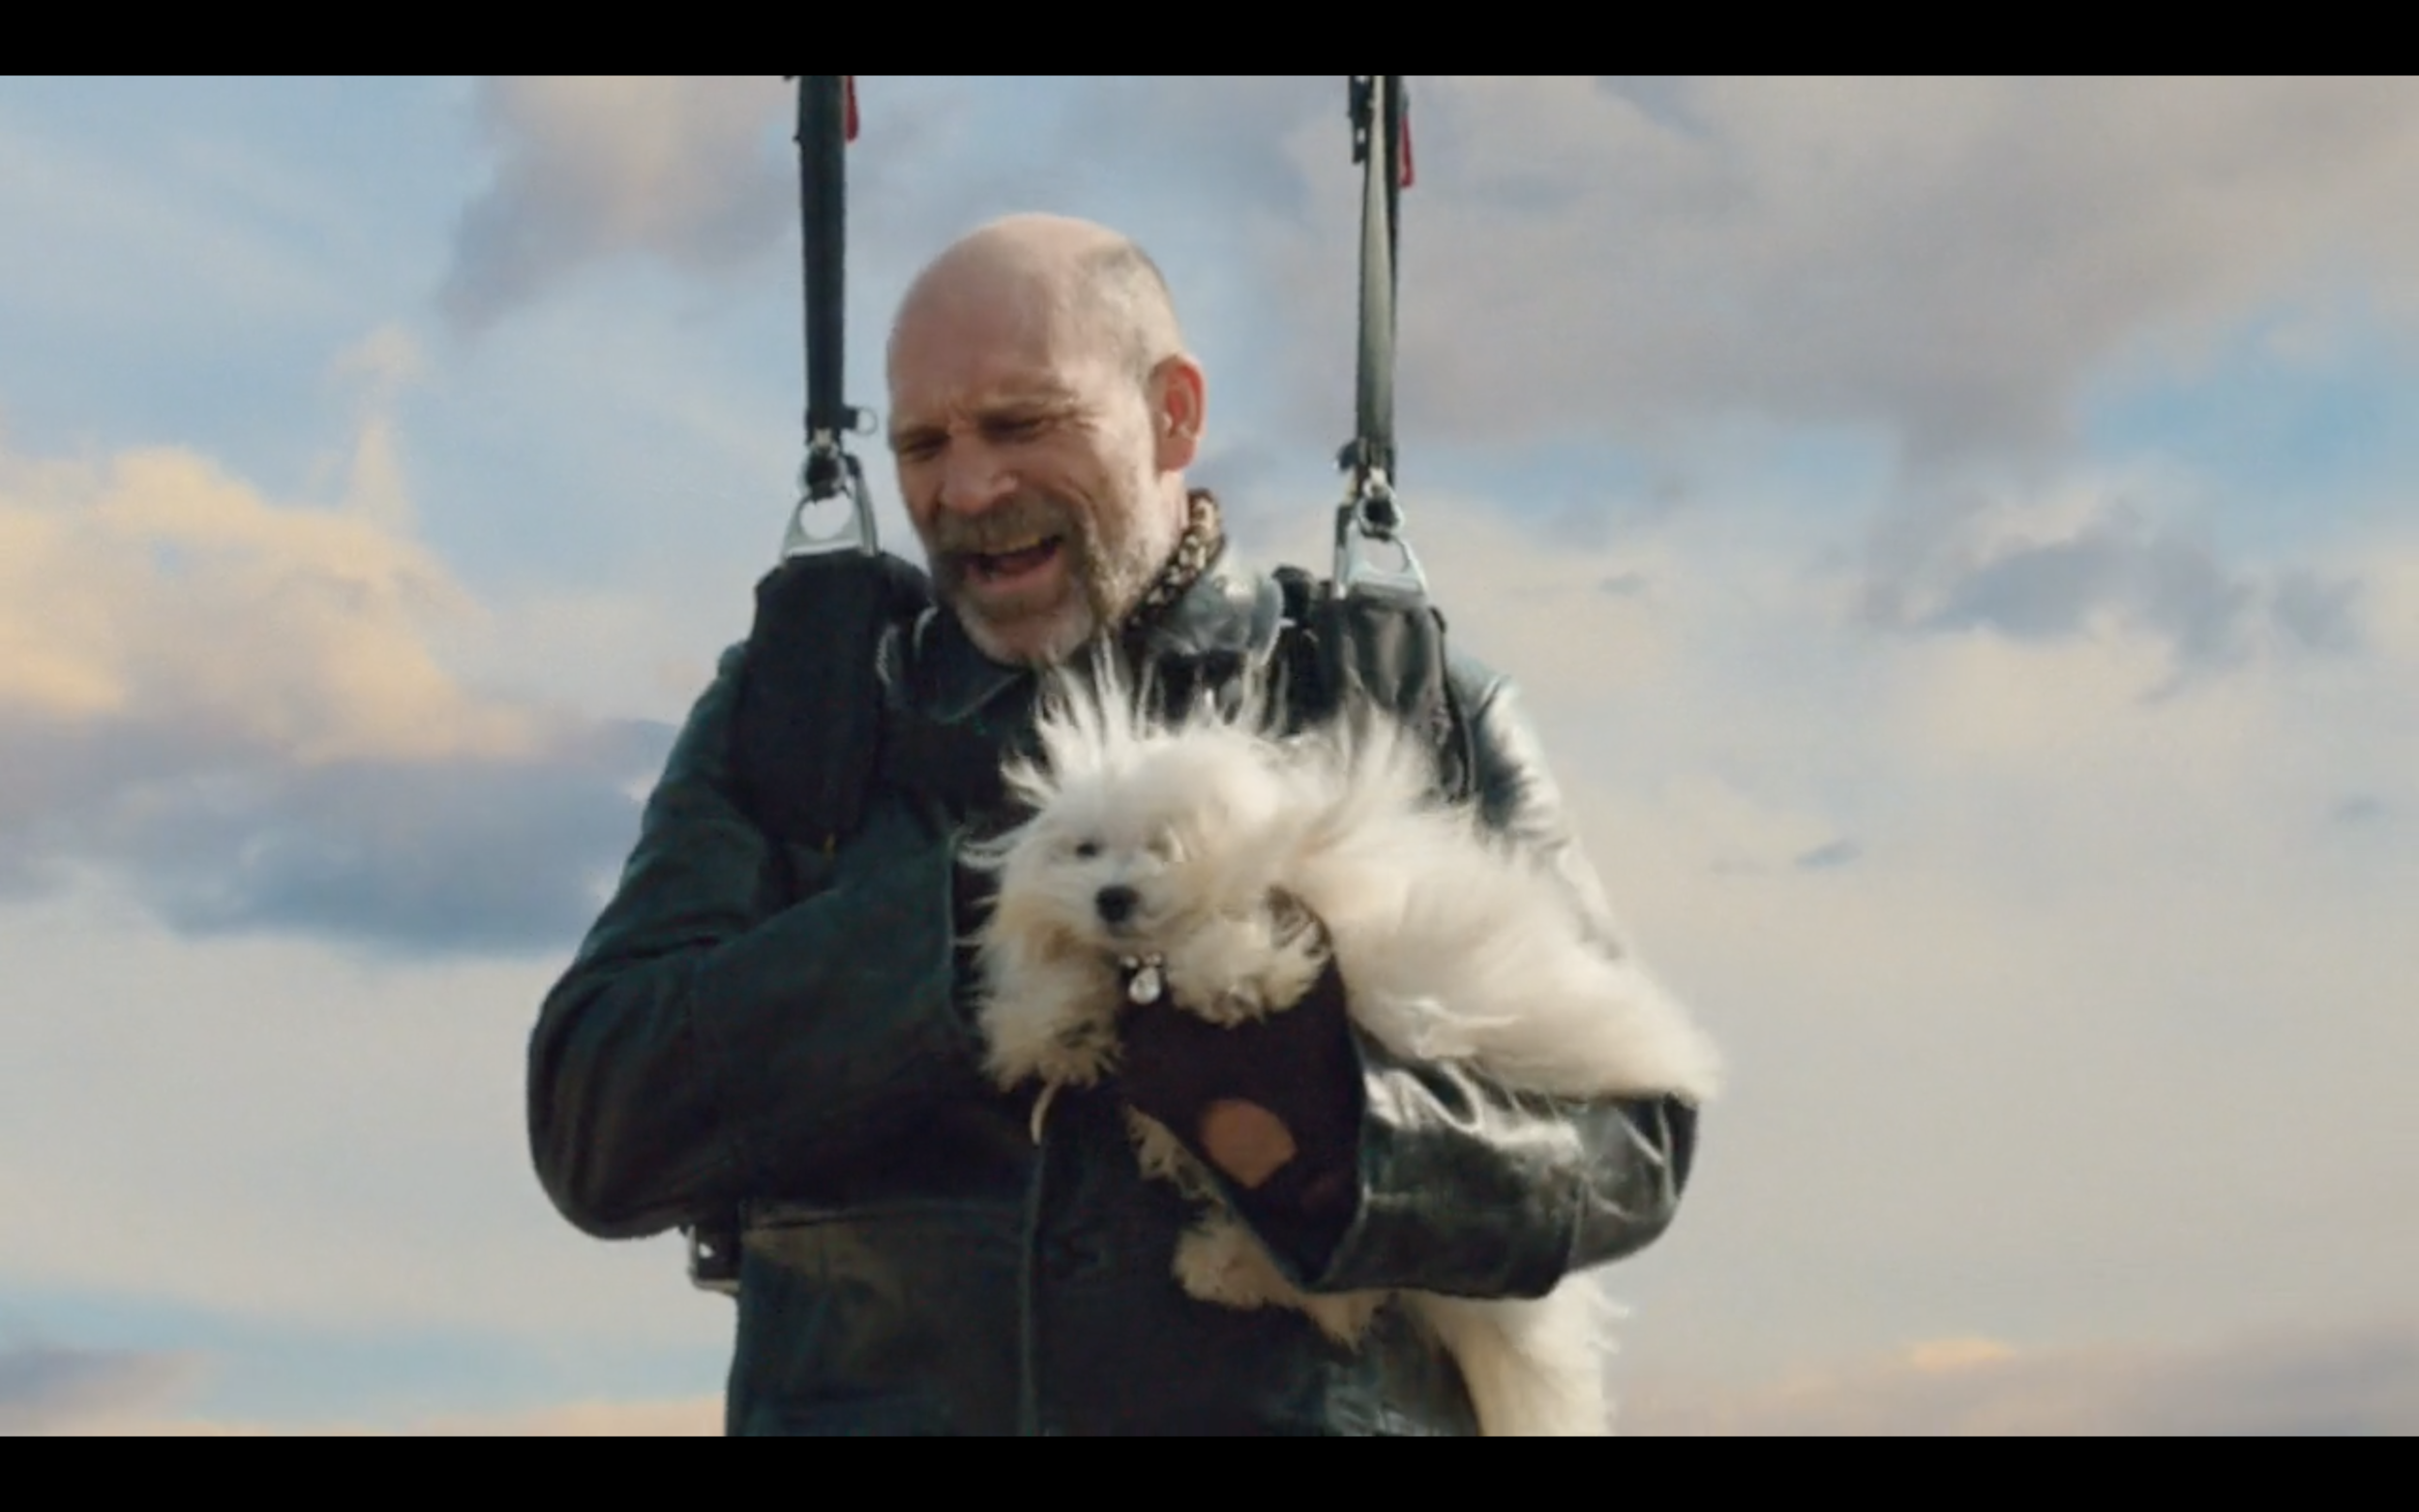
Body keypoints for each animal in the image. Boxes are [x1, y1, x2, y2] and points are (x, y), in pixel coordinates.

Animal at [964, 660, 1722, 1436]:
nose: (1112, 897)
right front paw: (1058, 1024)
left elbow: (1240, 950)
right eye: (1084, 850)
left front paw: (1226, 977)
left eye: (1165, 845)